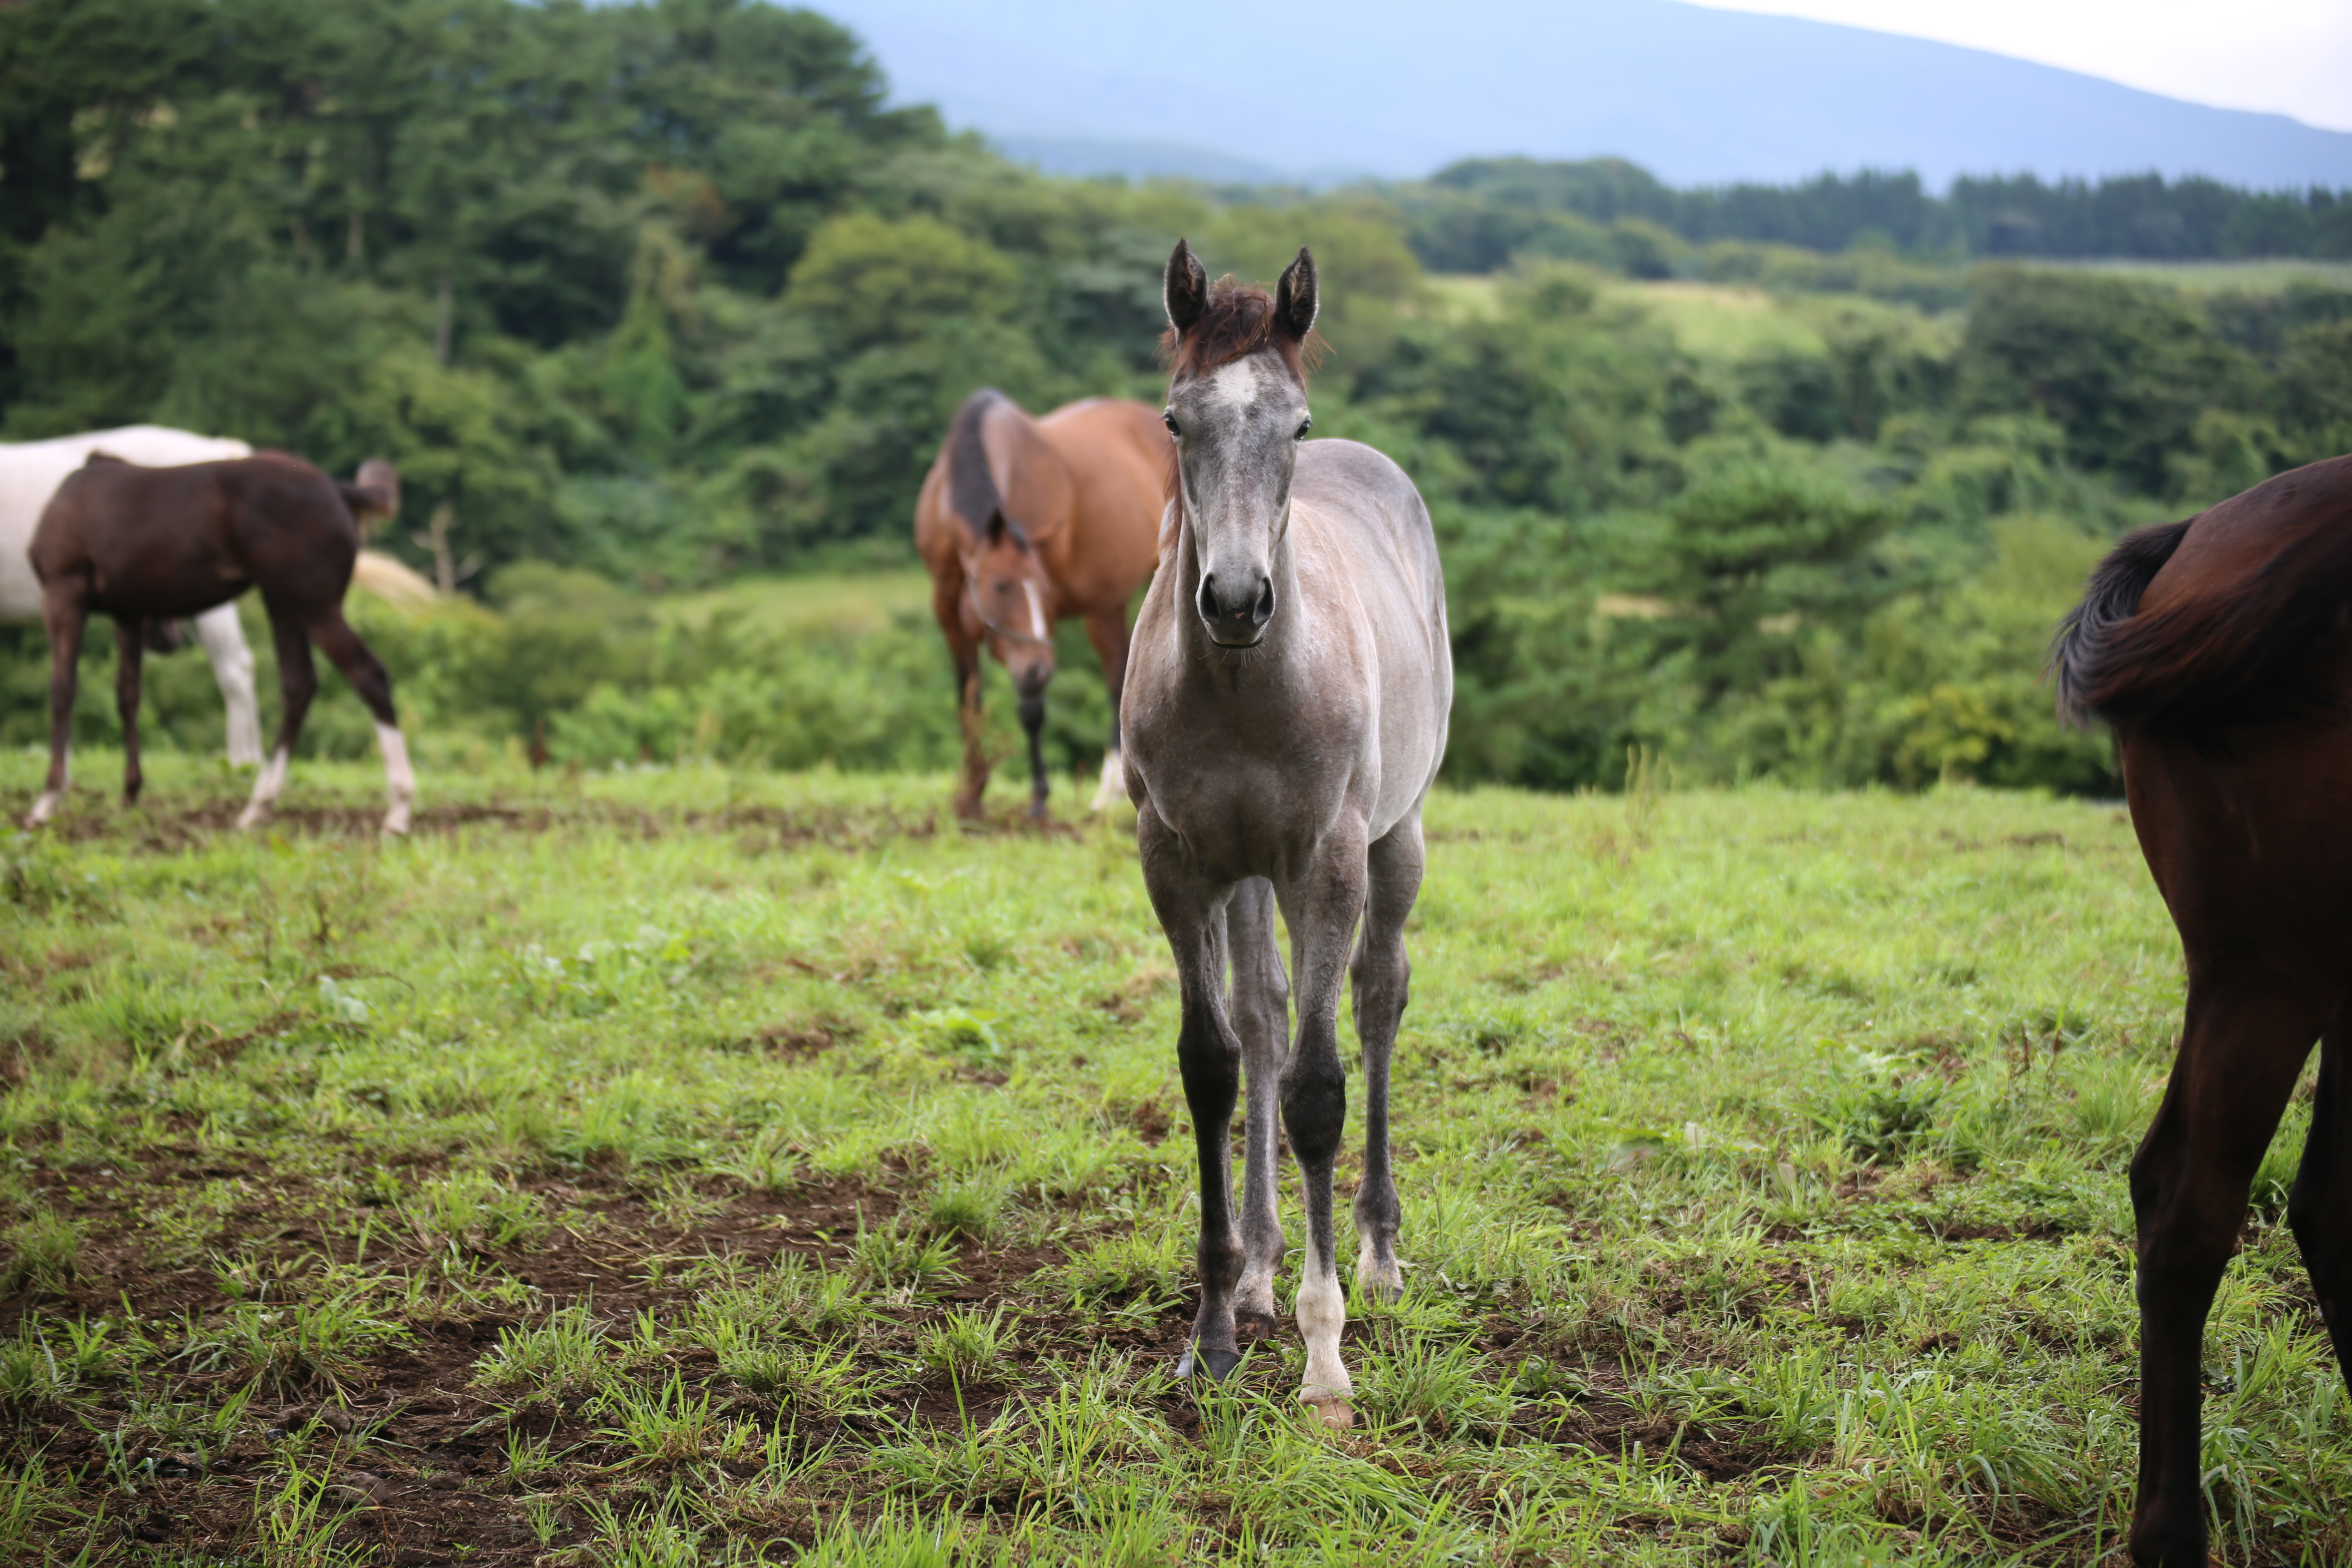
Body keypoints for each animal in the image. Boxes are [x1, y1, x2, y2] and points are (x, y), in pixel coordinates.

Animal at [23, 446, 414, 832]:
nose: (167, 640)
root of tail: (336, 488)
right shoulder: (129, 612)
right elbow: (128, 694)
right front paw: (130, 794)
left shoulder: (64, 592)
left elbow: (63, 689)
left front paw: (47, 800)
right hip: (283, 603)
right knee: (299, 685)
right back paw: (257, 806)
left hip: (314, 607)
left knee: (367, 674)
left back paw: (398, 808)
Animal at [908, 390, 1166, 822]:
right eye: (1001, 586)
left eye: (1043, 589)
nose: (1039, 668)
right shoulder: (946, 607)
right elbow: (968, 701)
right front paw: (972, 793)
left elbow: (1032, 708)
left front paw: (1039, 798)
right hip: (1107, 606)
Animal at [1119, 240, 1449, 1429]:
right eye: (1176, 422)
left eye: (1293, 427)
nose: (1232, 600)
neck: (1246, 688)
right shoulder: (1178, 865)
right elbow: (1214, 1065)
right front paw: (1215, 1329)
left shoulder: (1327, 862)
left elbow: (1317, 1090)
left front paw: (1324, 1354)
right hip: (1248, 876)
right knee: (1263, 1015)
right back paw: (1260, 1267)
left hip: (1394, 840)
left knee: (1377, 998)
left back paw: (1378, 1255)